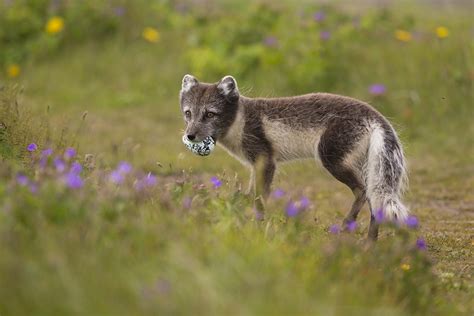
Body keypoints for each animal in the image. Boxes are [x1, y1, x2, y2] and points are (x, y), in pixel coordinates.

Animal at [180, 74, 410, 239]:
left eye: (210, 114)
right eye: (188, 113)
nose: (190, 136)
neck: (241, 120)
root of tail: (375, 116)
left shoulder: (266, 159)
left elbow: (259, 197)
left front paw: (257, 226)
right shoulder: (256, 164)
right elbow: (250, 193)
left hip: (331, 157)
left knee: (362, 191)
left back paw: (347, 225)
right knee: (375, 201)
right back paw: (370, 243)